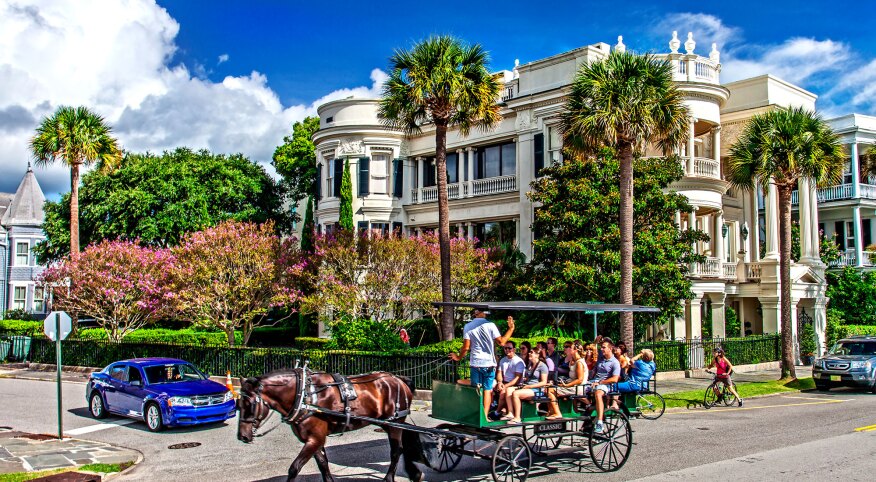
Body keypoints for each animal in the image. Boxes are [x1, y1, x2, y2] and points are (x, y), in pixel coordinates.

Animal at [234, 368, 422, 480]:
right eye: (237, 404)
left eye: (249, 404)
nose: (242, 436)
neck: (304, 395)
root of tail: (398, 379)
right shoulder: (314, 439)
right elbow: (323, 464)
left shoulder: (315, 438)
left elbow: (294, 468)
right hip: (388, 423)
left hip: (395, 424)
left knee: (396, 451)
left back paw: (390, 477)